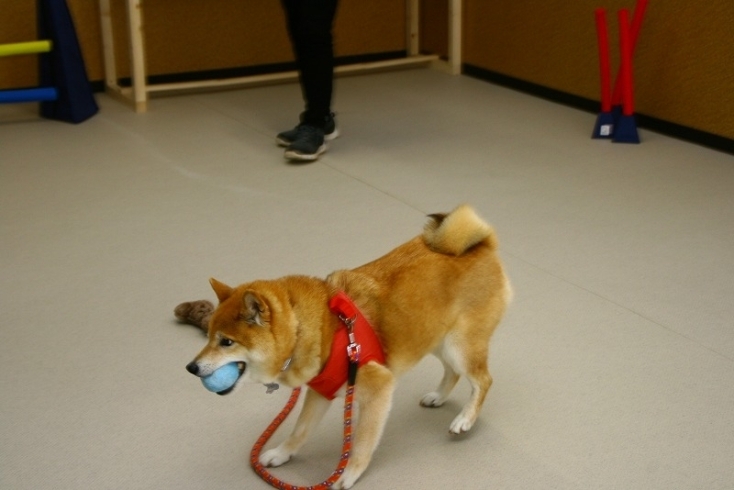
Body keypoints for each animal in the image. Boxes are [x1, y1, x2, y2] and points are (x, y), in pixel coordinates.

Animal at [178, 203, 512, 486]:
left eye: (226, 342)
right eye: (208, 336)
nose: (191, 367)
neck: (318, 330)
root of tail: (484, 244)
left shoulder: (378, 390)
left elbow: (361, 443)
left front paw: (347, 475)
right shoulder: (320, 391)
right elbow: (300, 431)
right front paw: (281, 453)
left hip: (459, 346)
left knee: (483, 380)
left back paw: (465, 419)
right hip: (436, 341)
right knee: (453, 372)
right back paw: (438, 397)